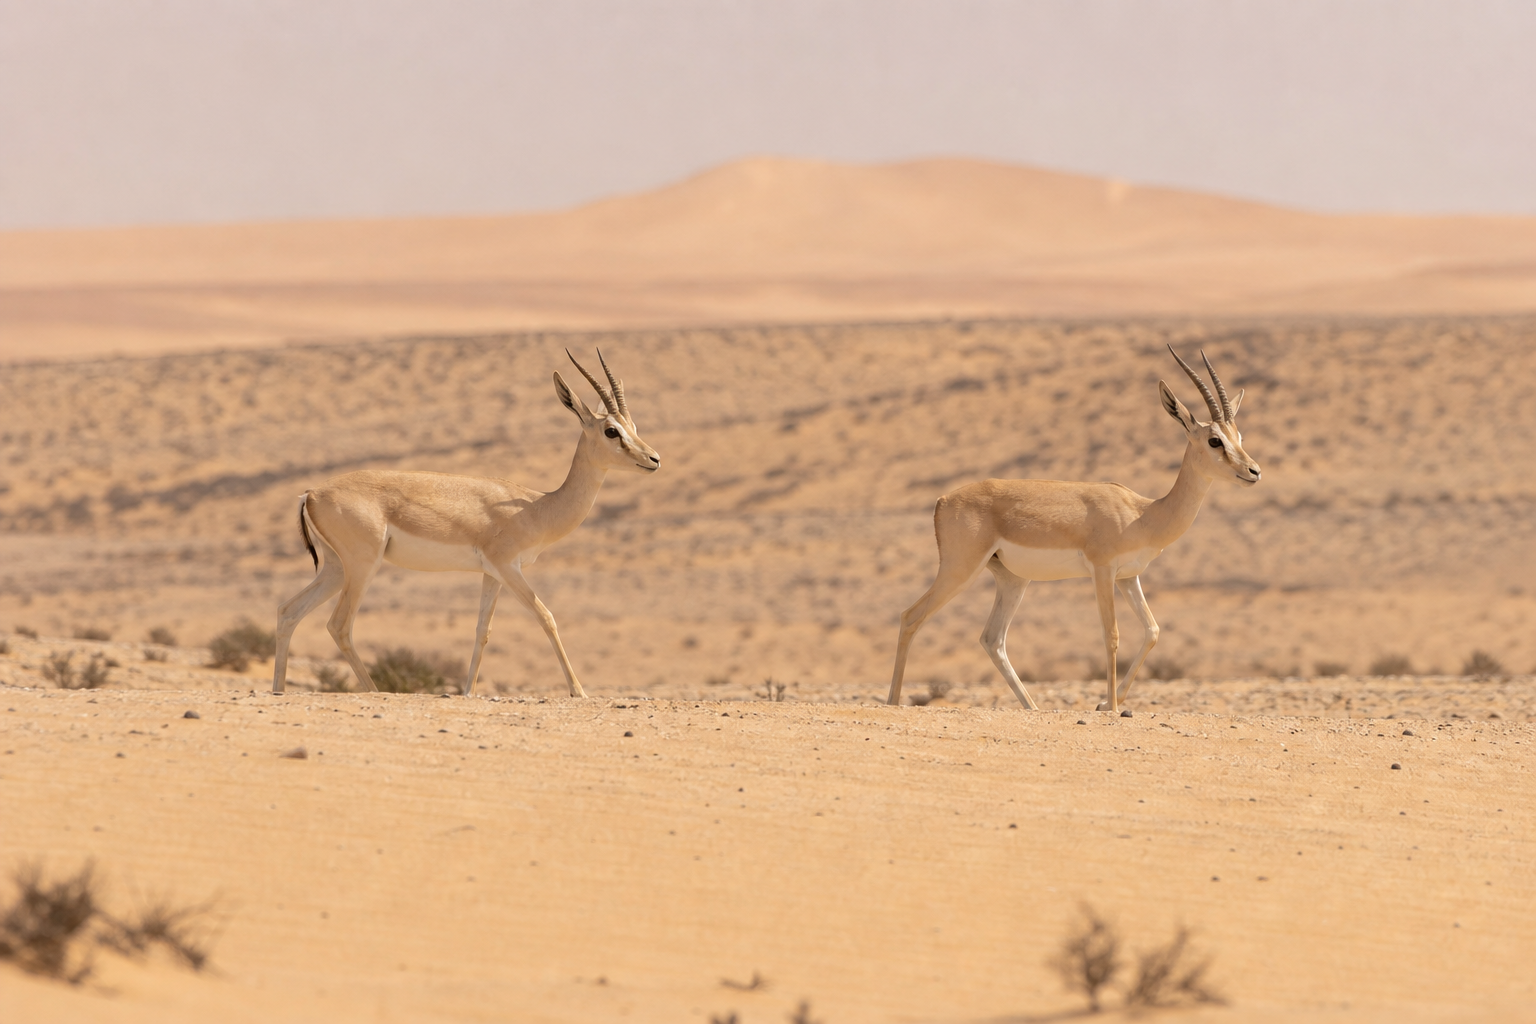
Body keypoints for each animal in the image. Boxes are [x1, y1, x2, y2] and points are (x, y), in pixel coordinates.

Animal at [271, 351, 659, 696]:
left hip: (335, 568)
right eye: (611, 431)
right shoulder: (510, 567)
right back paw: (375, 691)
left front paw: (468, 692)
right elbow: (546, 616)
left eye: (633, 427)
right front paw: (579, 692)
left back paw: (279, 690)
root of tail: (311, 493)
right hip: (361, 567)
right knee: (339, 625)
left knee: (288, 611)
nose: (654, 459)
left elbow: (481, 630)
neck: (537, 506)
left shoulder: (493, 574)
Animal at [888, 347, 1261, 713]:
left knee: (992, 638)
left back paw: (1032, 707)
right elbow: (1112, 635)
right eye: (1214, 441)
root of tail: (943, 500)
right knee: (911, 616)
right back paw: (893, 701)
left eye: (1239, 436)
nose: (1254, 471)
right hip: (960, 569)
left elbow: (1152, 630)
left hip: (1012, 579)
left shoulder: (1129, 576)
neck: (1143, 513)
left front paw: (1104, 703)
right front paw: (1111, 706)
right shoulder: (1103, 570)